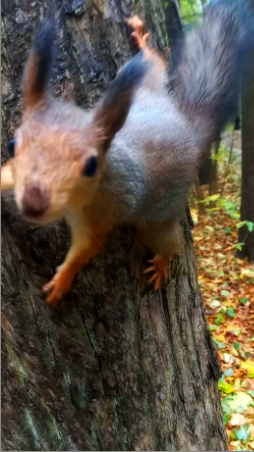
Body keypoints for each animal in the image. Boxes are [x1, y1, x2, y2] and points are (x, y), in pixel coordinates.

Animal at [1, 1, 254, 306]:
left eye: (91, 165)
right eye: (12, 145)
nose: (33, 204)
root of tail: (187, 129)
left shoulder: (100, 214)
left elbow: (86, 248)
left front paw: (62, 281)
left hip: (156, 218)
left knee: (170, 242)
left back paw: (162, 263)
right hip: (148, 87)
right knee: (153, 65)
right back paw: (142, 42)